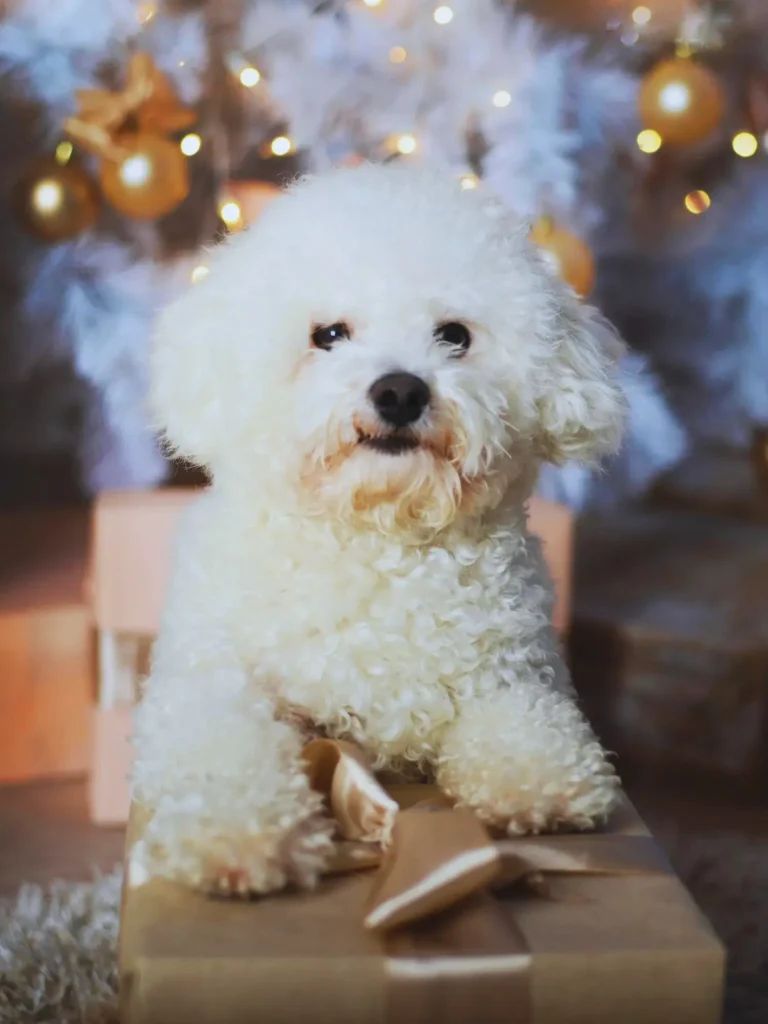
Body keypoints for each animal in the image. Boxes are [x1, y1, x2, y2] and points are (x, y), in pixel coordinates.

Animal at [131, 163, 626, 892]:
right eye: (329, 334)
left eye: (454, 335)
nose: (399, 391)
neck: (381, 541)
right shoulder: (206, 683)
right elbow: (223, 745)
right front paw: (238, 832)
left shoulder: (516, 672)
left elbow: (525, 721)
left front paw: (539, 782)